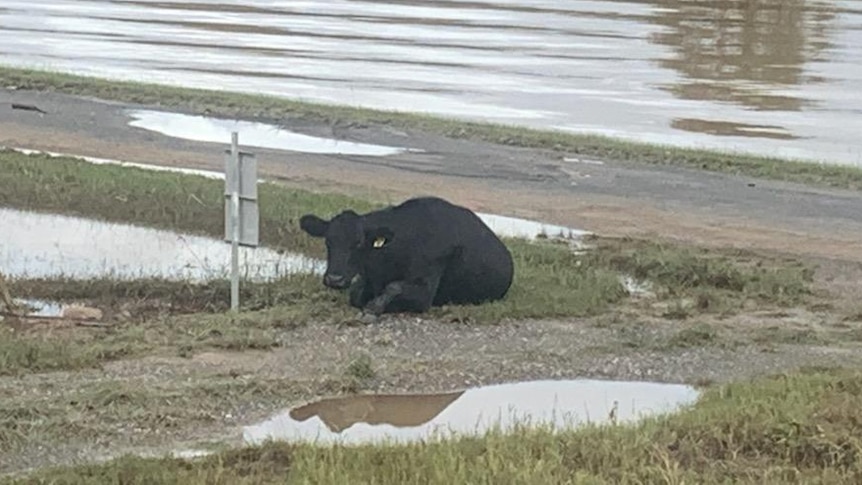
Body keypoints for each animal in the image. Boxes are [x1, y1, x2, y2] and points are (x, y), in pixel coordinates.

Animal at [298, 197, 512, 318]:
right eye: (328, 241)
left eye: (358, 243)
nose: (334, 279)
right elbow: (356, 294)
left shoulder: (425, 292)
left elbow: (394, 287)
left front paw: (375, 307)